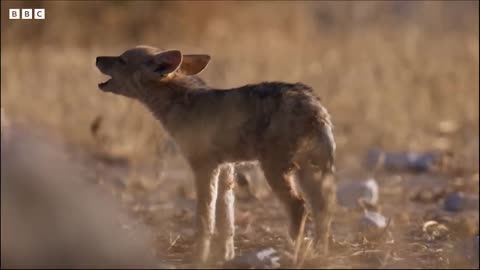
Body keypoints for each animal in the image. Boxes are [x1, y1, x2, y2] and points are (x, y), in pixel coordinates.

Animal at [95, 45, 336, 262]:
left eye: (122, 60)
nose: (97, 58)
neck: (180, 103)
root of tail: (315, 104)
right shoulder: (226, 168)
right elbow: (226, 221)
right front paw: (226, 257)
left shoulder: (204, 167)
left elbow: (205, 220)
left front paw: (199, 259)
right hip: (307, 173)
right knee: (322, 210)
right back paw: (321, 254)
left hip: (276, 172)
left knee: (299, 207)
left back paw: (293, 255)